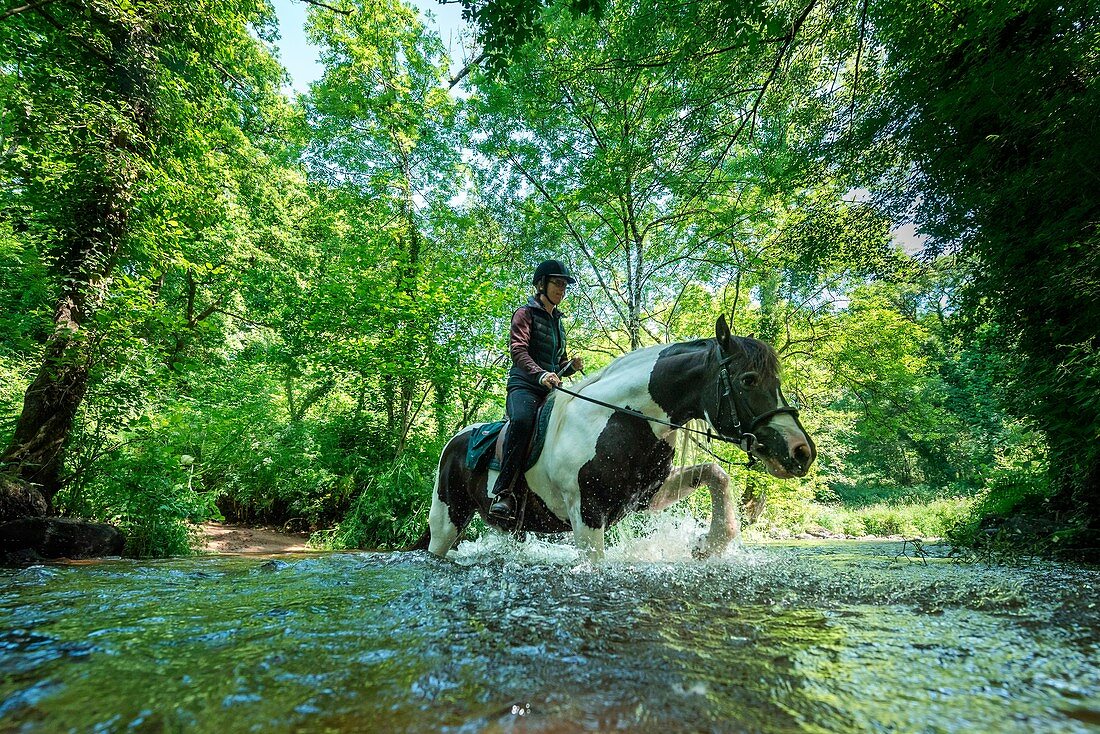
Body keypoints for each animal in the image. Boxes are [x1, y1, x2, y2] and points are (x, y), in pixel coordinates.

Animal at [415, 316, 814, 563]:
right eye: (748, 380)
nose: (802, 452)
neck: (621, 419)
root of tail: (454, 442)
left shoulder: (647, 496)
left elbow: (717, 474)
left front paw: (707, 545)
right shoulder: (587, 513)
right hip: (447, 520)